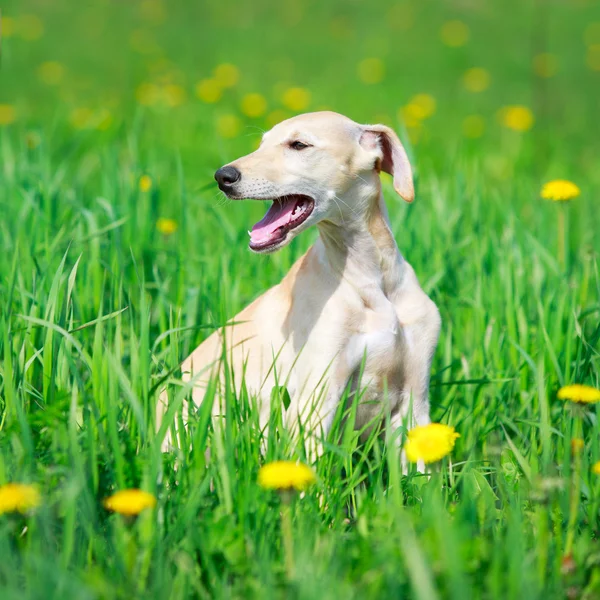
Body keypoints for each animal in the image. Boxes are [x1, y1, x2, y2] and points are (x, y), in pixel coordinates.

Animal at [159, 111, 440, 460]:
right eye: (261, 143)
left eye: (299, 145)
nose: (222, 176)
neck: (372, 282)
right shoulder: (315, 401)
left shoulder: (415, 402)